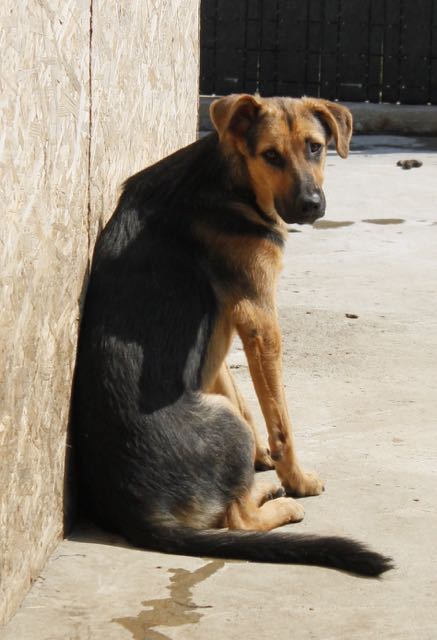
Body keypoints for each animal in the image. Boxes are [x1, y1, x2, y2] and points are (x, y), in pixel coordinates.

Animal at [72, 94, 392, 576]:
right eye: (271, 155)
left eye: (315, 147)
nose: (310, 205)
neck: (231, 182)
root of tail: (139, 513)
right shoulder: (260, 316)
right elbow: (280, 420)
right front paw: (296, 478)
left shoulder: (223, 331)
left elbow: (242, 394)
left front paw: (263, 460)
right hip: (222, 423)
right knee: (238, 519)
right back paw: (278, 501)